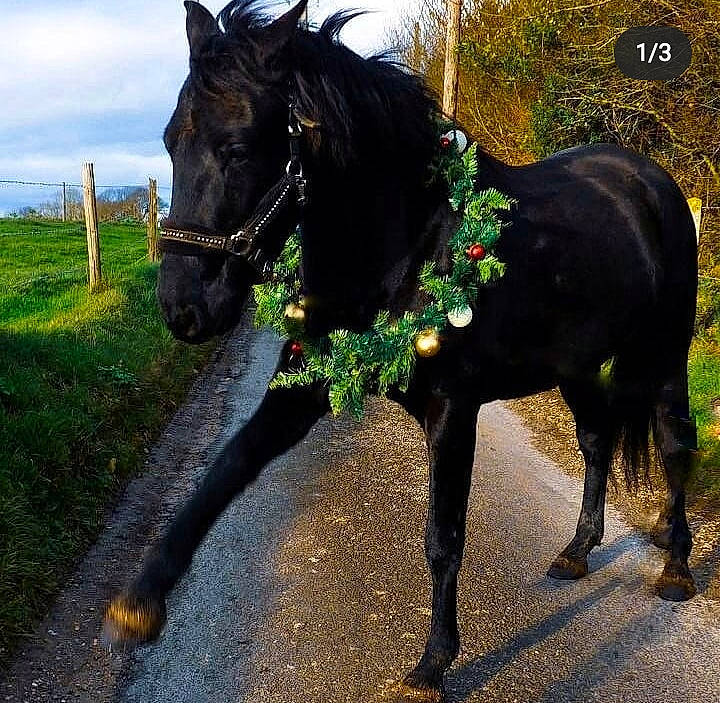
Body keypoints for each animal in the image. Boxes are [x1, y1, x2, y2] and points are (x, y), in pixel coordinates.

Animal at [104, 1, 699, 700]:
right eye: (172, 140)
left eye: (239, 147)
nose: (185, 309)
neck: (405, 251)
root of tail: (649, 180)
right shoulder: (300, 386)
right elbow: (227, 468)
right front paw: (141, 599)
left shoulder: (454, 411)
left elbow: (444, 536)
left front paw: (435, 660)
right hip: (574, 365)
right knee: (597, 439)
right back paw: (577, 552)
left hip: (666, 354)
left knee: (674, 443)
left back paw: (677, 568)